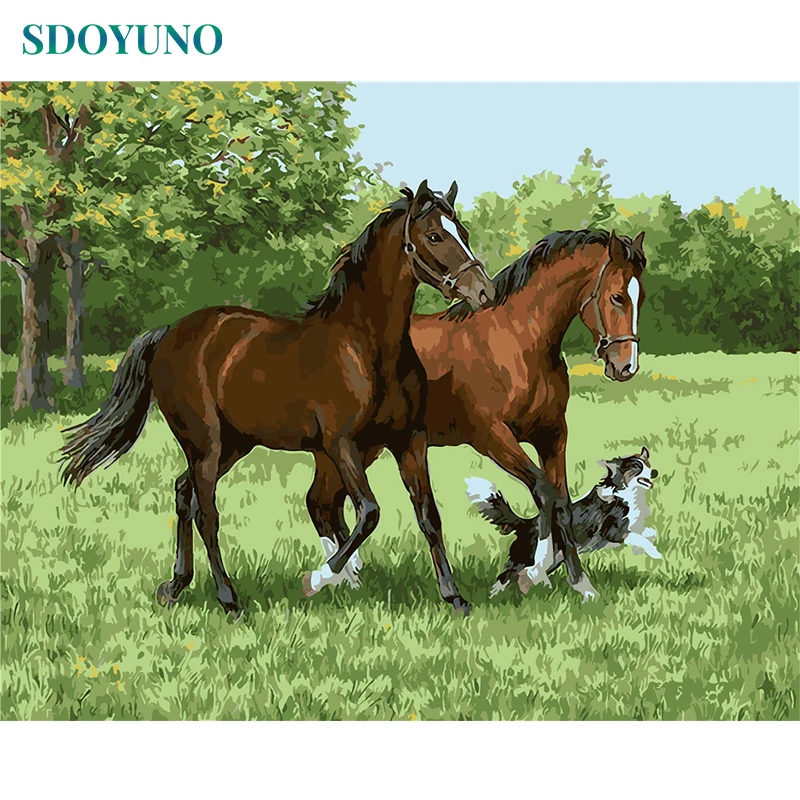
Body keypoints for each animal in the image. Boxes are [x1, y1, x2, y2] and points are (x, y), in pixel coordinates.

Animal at [59, 180, 495, 616]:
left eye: (463, 232)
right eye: (435, 236)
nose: (484, 292)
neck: (365, 346)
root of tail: (169, 332)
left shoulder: (409, 440)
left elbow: (428, 516)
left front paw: (455, 597)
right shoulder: (341, 444)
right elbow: (369, 512)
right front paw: (318, 579)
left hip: (234, 444)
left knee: (185, 493)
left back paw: (175, 586)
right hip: (206, 443)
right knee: (206, 512)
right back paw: (228, 599)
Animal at [307, 229, 647, 601]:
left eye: (640, 298)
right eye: (616, 297)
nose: (625, 367)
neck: (517, 340)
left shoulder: (552, 435)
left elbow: (561, 503)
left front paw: (581, 585)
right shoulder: (492, 437)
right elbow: (543, 492)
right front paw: (536, 569)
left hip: (363, 447)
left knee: (325, 502)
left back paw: (347, 580)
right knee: (321, 503)